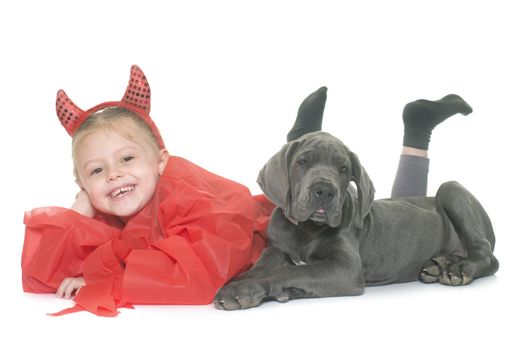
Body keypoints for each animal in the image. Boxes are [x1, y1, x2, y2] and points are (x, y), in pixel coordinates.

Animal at [213, 102, 498, 312]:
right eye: (303, 162)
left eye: (343, 168)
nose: (324, 191)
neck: (306, 229)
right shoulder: (275, 249)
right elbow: (263, 267)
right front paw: (242, 281)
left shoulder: (345, 268)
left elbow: (288, 272)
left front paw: (242, 290)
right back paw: (439, 265)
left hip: (451, 189)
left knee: (487, 256)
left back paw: (459, 269)